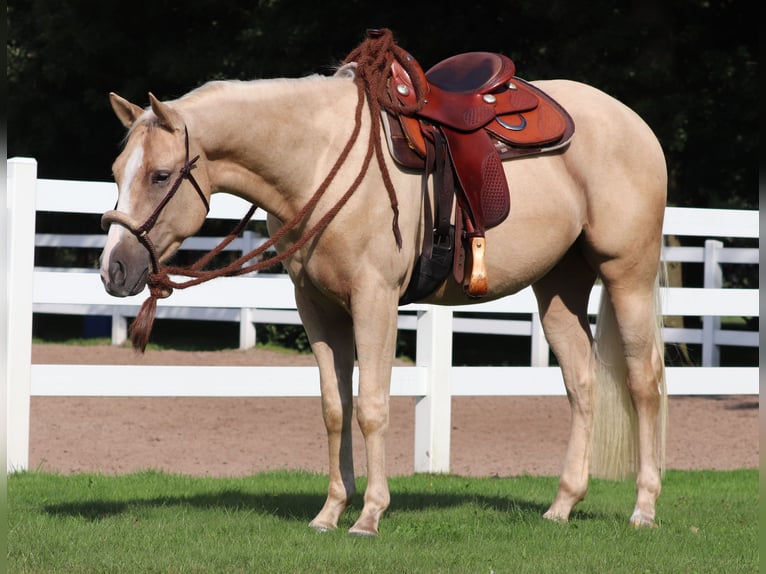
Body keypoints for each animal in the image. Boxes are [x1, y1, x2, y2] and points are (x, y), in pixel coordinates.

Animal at [100, 36, 664, 540]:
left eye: (161, 175)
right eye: (116, 171)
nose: (113, 271)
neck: (321, 160)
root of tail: (634, 124)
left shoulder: (376, 300)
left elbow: (372, 407)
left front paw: (369, 516)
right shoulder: (318, 308)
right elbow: (335, 408)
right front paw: (330, 512)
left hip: (627, 275)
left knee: (643, 382)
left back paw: (644, 509)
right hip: (559, 287)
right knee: (582, 383)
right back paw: (562, 506)